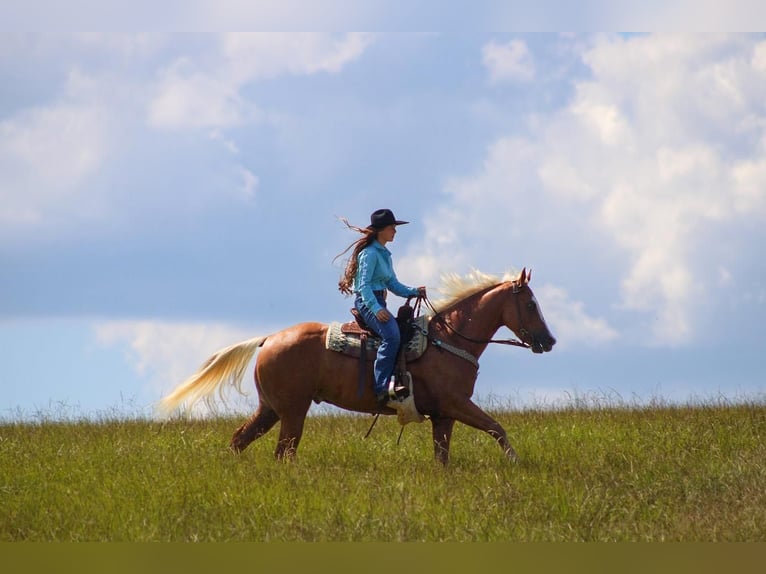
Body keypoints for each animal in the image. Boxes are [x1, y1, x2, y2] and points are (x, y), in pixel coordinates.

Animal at [160, 270, 560, 468]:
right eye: (530, 303)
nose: (549, 340)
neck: (448, 340)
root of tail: (269, 338)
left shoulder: (444, 415)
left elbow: (443, 457)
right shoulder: (457, 404)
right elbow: (497, 428)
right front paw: (516, 463)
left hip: (270, 409)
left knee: (240, 440)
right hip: (292, 411)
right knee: (283, 452)